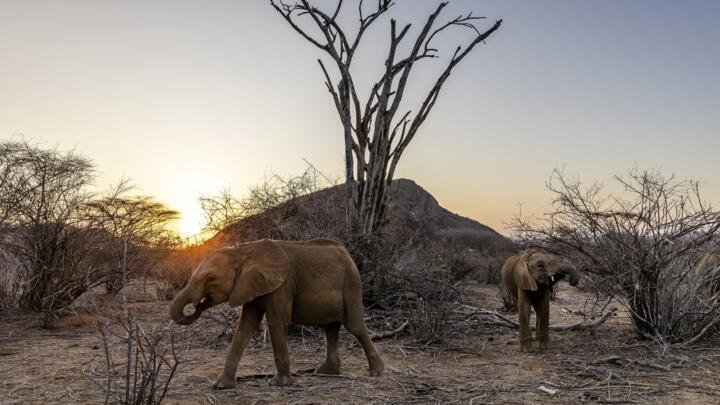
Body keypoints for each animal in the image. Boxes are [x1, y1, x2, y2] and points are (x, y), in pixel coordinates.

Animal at [169, 238, 384, 389]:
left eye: (211, 278)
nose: (198, 305)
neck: (242, 251)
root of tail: (348, 254)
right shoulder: (250, 285)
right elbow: (245, 327)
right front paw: (220, 386)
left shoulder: (282, 285)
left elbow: (276, 323)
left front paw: (278, 384)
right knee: (330, 328)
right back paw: (325, 373)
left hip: (351, 283)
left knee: (355, 326)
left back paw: (377, 373)